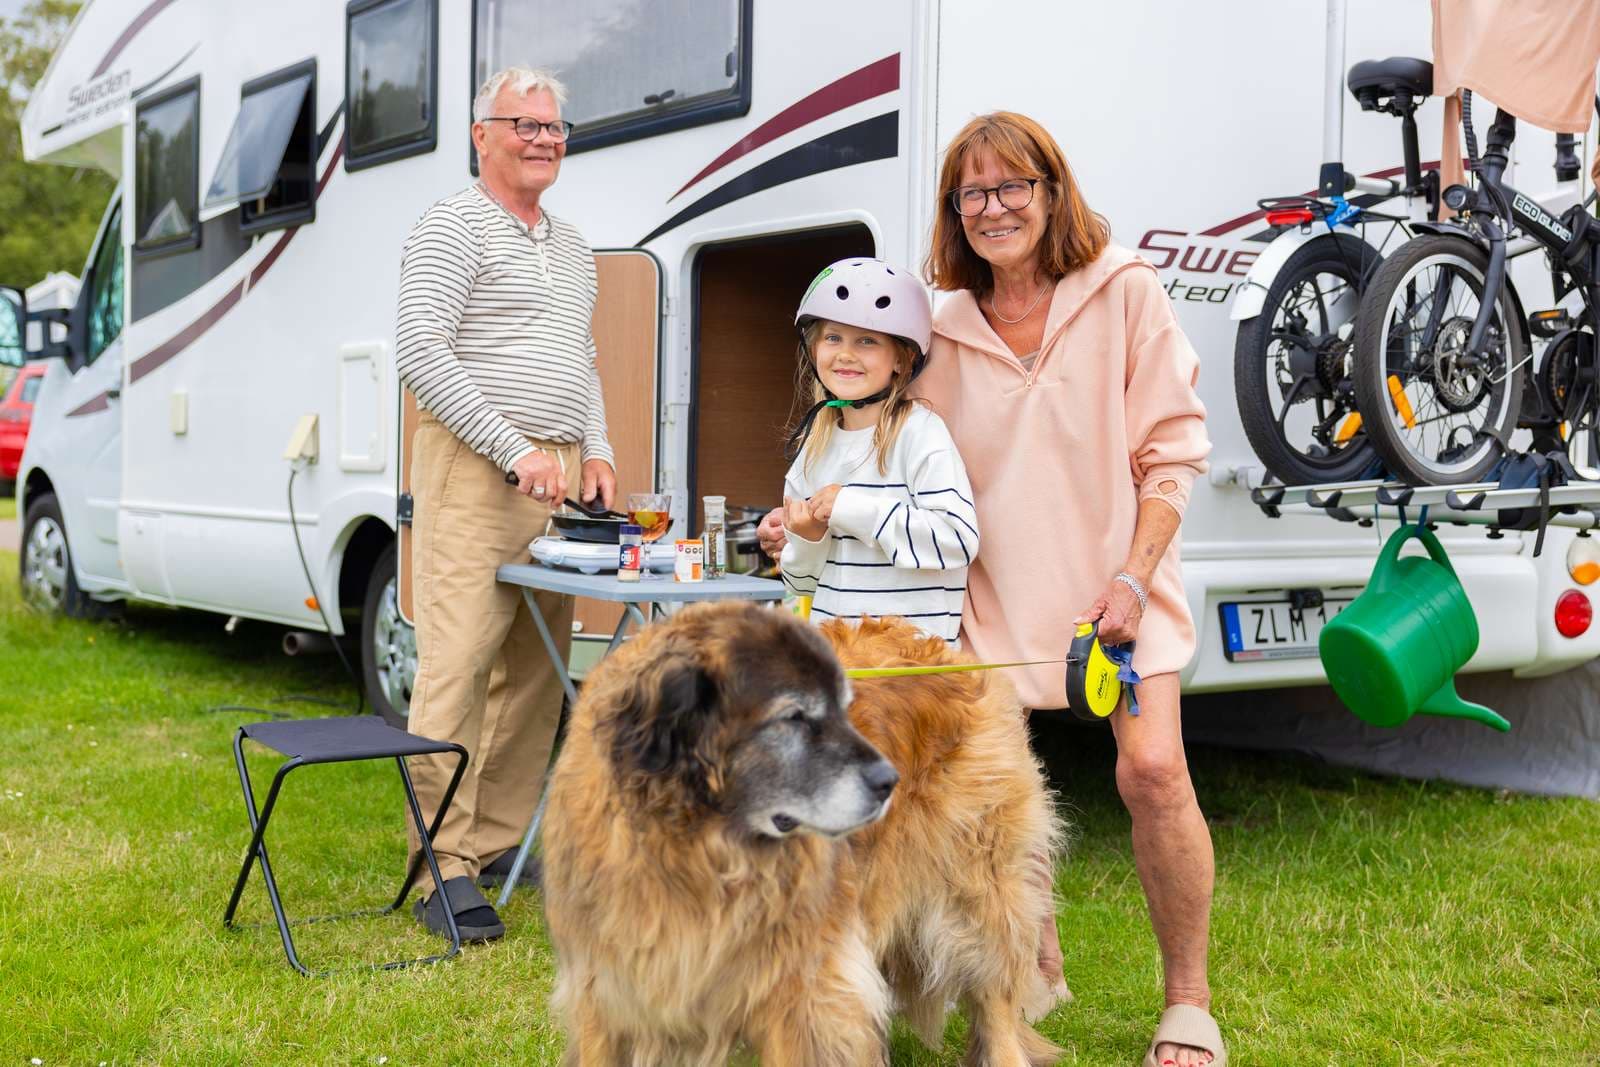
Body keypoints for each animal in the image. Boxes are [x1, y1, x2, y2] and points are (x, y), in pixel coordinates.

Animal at [544, 604, 1068, 1067]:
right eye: (794, 717)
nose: (889, 781)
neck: (696, 851)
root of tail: (949, 654)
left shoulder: (799, 987)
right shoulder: (607, 984)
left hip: (977, 889)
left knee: (994, 994)